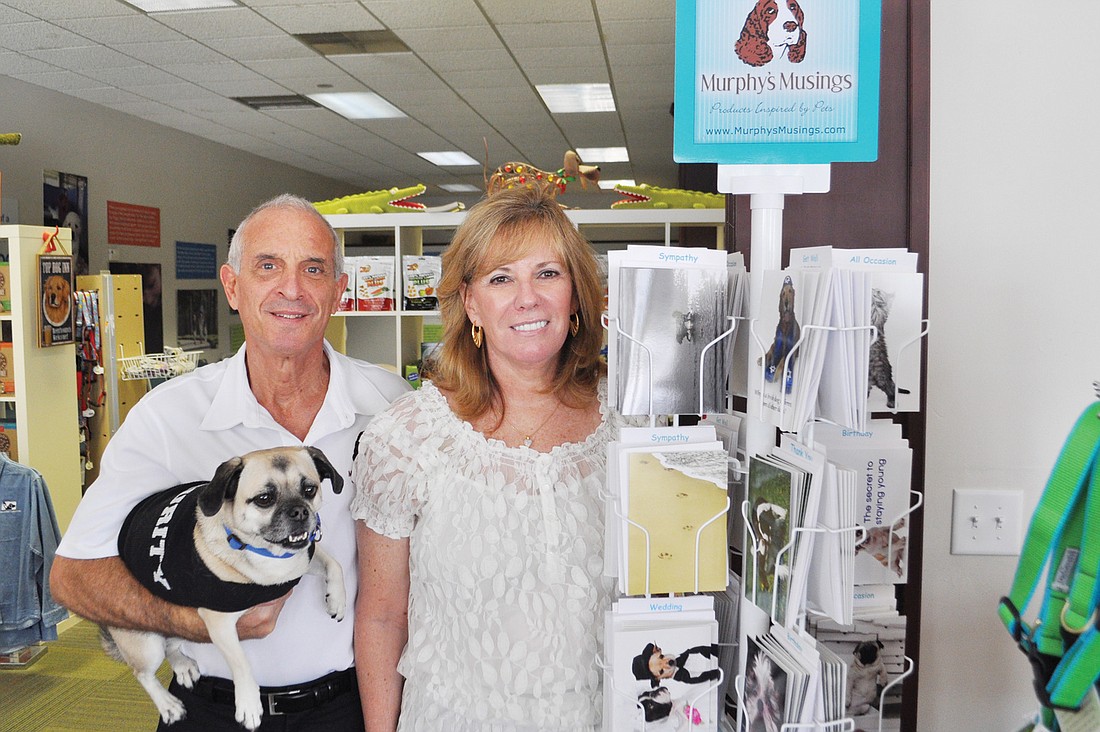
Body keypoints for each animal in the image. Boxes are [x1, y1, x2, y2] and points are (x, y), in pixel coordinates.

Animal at [102, 442, 345, 726]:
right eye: (264, 499)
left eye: (309, 489)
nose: (300, 511)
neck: (263, 552)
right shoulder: (220, 624)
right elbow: (240, 661)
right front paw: (249, 703)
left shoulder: (303, 560)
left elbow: (333, 563)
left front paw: (337, 599)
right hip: (146, 644)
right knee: (143, 673)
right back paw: (167, 705)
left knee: (172, 645)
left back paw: (182, 665)